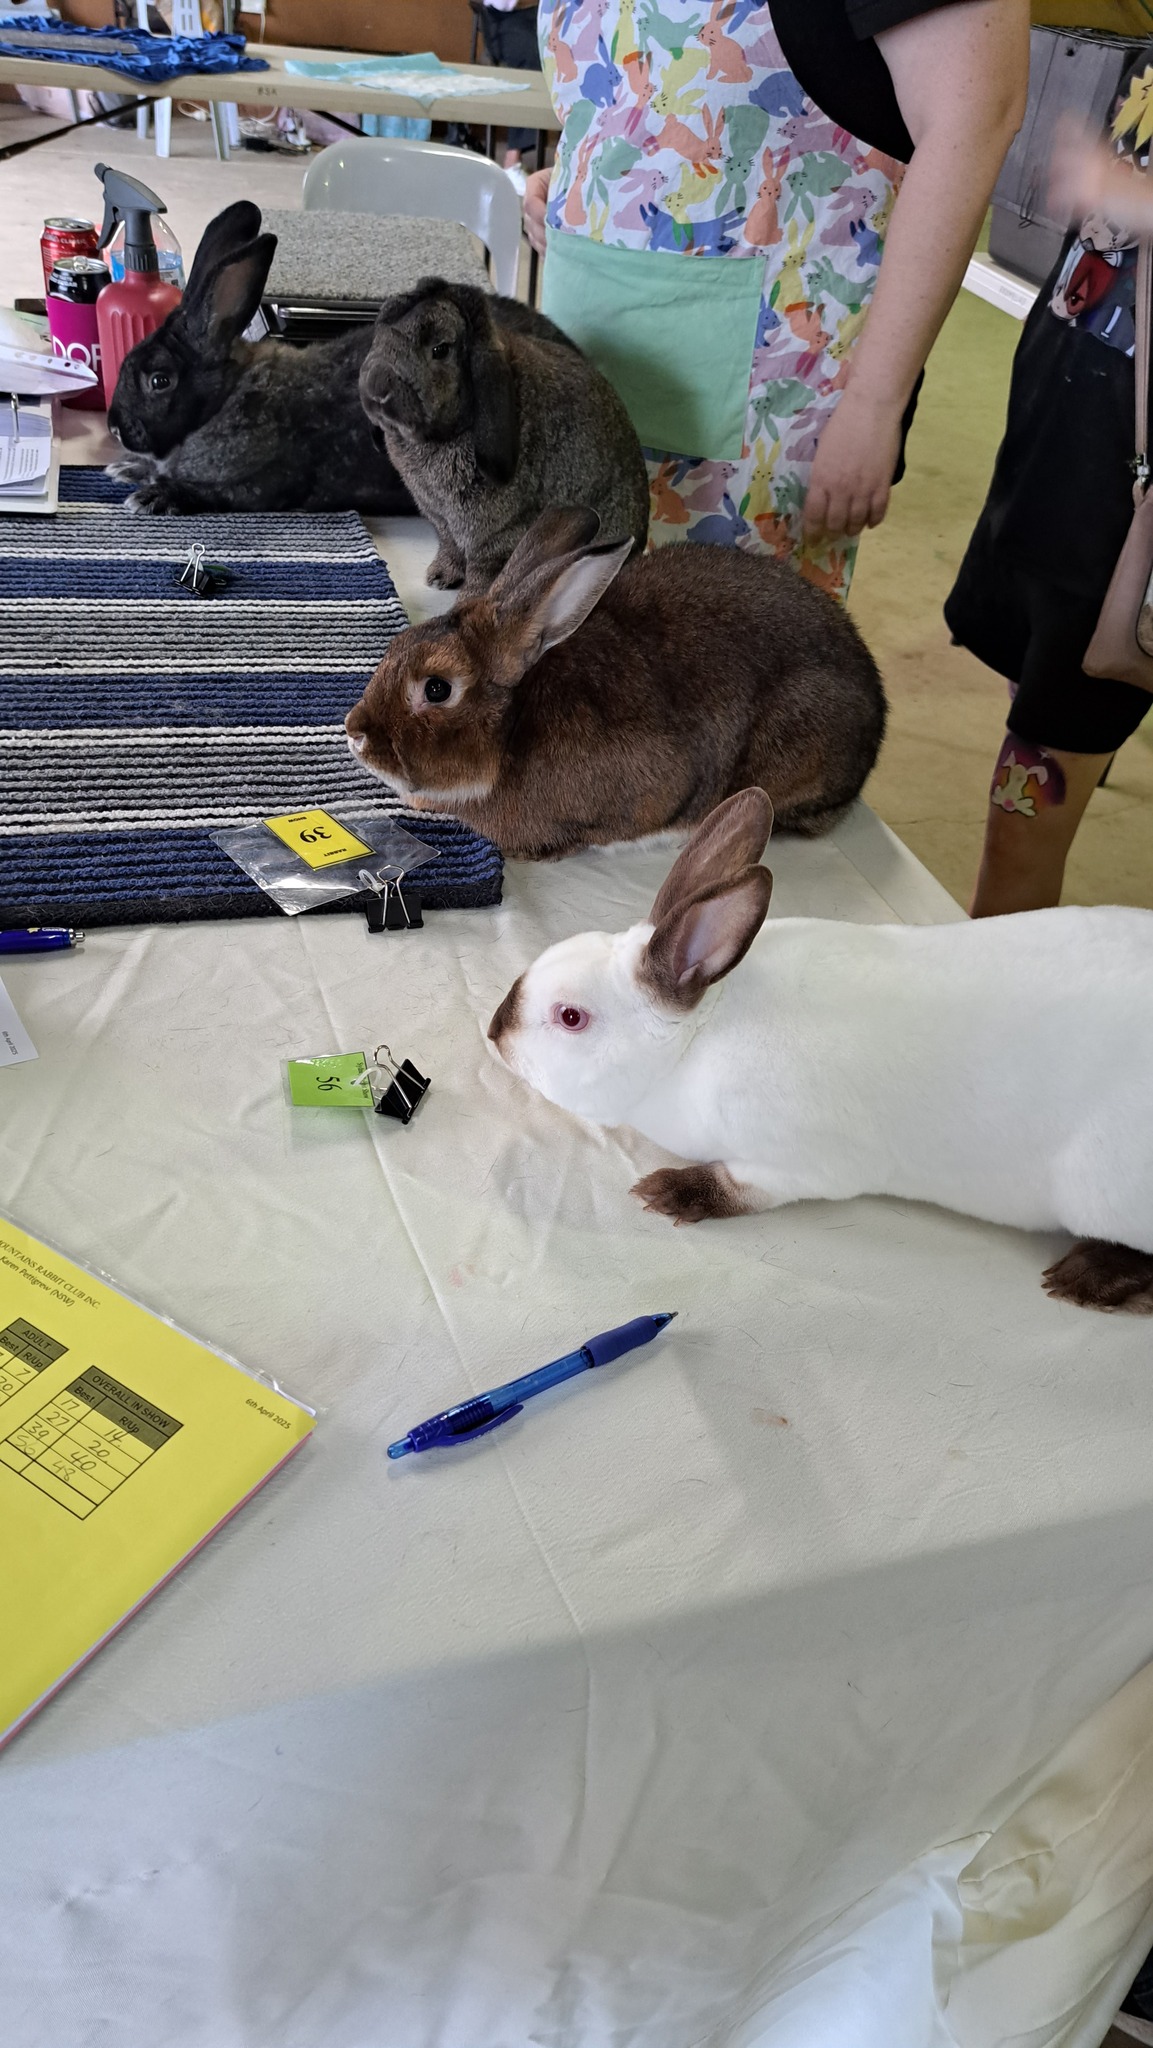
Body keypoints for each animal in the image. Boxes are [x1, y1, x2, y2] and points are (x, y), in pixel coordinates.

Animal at [357, 280, 650, 593]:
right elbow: (449, 545)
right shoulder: (441, 521)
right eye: (381, 333)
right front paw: (440, 577)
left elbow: (483, 574)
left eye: (440, 349)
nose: (375, 387)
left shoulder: (497, 538)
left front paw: (468, 598)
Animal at [487, 788, 1153, 1316]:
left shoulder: (803, 1163)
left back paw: (1083, 1280)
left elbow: (740, 1186)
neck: (698, 1035)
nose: (494, 1033)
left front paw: (669, 1192)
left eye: (571, 1017)